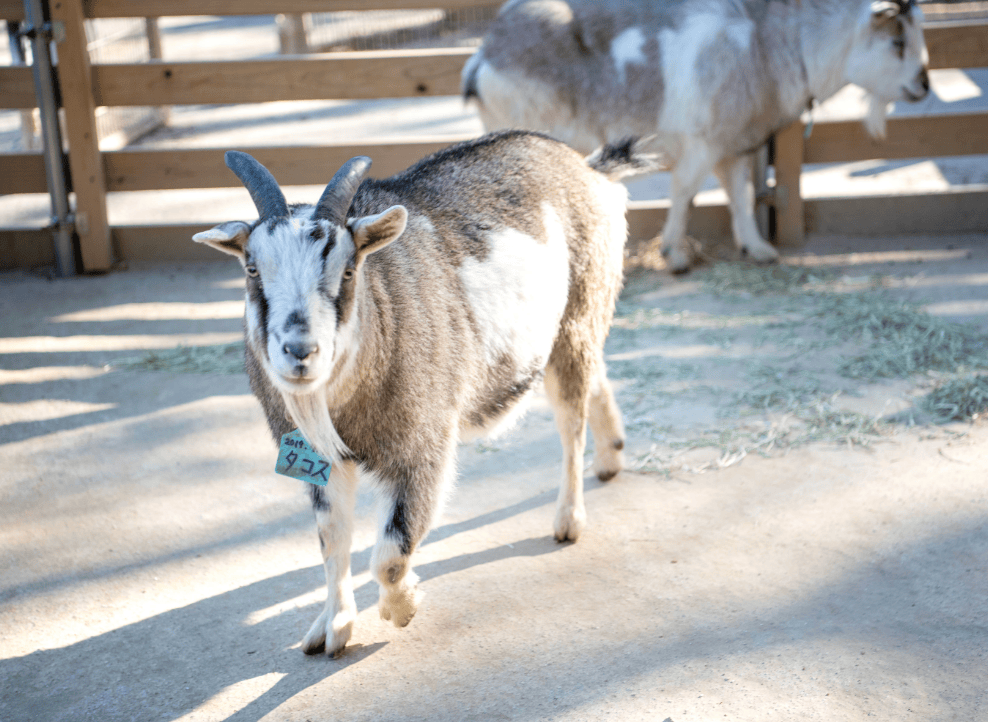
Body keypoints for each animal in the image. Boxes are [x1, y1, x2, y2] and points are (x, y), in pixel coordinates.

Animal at [466, 0, 932, 270]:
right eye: (896, 41)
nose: (924, 85)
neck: (770, 42)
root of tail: (484, 56)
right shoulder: (703, 143)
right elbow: (686, 191)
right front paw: (673, 254)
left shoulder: (733, 147)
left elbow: (739, 196)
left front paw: (757, 248)